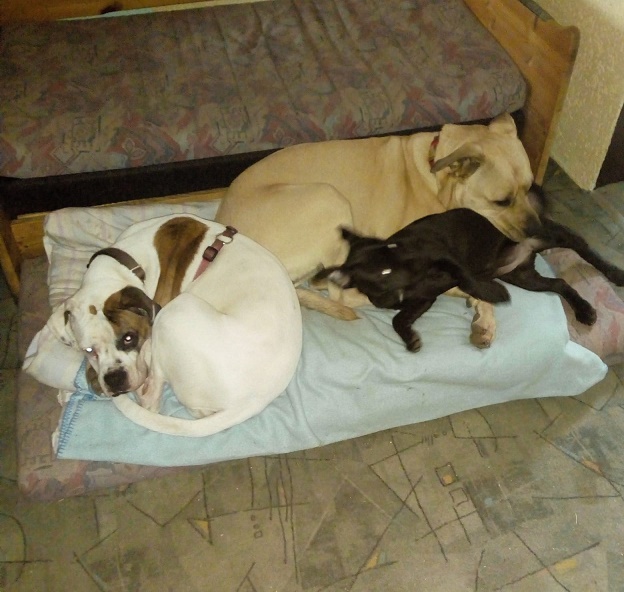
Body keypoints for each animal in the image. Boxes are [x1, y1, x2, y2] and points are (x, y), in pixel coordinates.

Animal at [46, 214, 302, 437]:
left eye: (129, 338)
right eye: (89, 350)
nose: (115, 379)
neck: (127, 261)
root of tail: (255, 397)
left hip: (174, 311)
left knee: (150, 399)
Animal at [215, 113, 540, 347]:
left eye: (529, 188)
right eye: (502, 201)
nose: (538, 229)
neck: (437, 175)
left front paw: (483, 317)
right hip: (328, 196)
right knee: (336, 293)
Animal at [314, 208, 624, 351]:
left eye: (392, 247)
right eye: (384, 272)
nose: (416, 263)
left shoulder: (444, 257)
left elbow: (465, 279)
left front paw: (492, 293)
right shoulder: (422, 300)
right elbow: (398, 319)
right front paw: (411, 339)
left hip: (546, 234)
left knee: (580, 245)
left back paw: (614, 272)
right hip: (523, 276)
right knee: (558, 284)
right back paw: (584, 309)